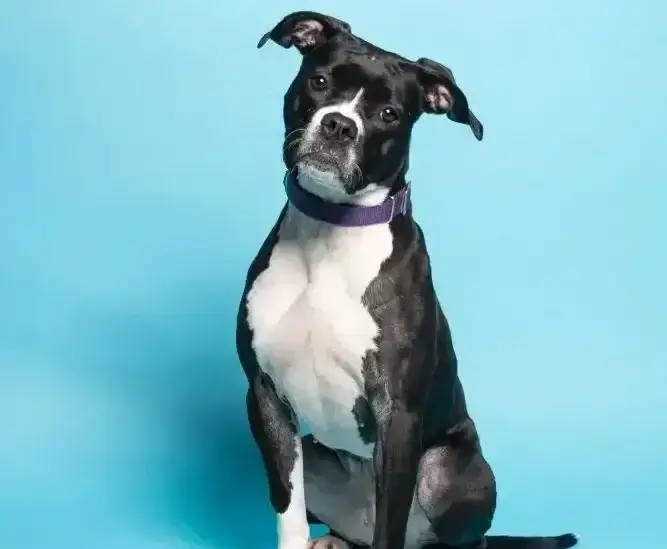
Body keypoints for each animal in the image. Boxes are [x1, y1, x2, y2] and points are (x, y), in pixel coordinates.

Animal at [236, 11, 578, 549]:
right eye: (320, 82)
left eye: (390, 114)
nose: (338, 124)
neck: (332, 229)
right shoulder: (266, 399)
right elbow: (288, 510)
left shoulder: (397, 418)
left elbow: (390, 525)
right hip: (316, 456)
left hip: (446, 471)